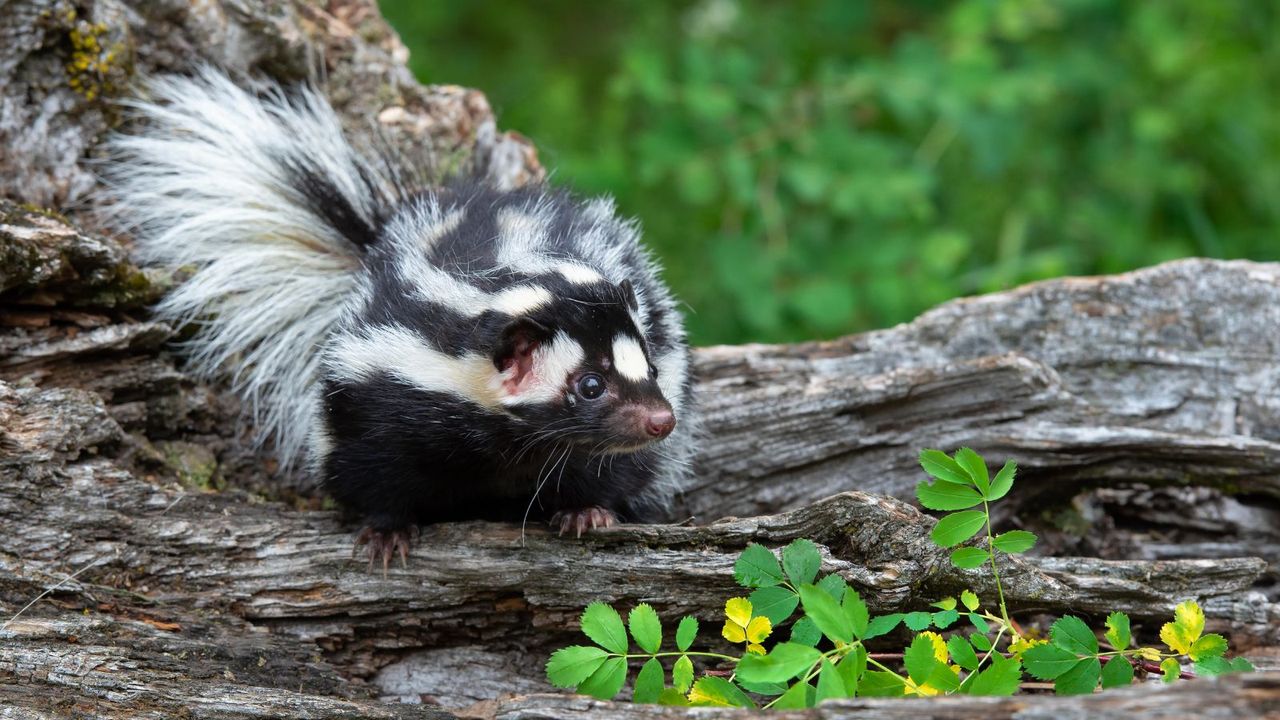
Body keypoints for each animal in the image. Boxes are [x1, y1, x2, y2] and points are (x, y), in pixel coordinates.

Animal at [103, 68, 696, 561]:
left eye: (649, 366)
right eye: (590, 385)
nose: (660, 419)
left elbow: (611, 467)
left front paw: (587, 512)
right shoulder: (384, 389)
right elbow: (372, 468)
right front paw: (386, 533)